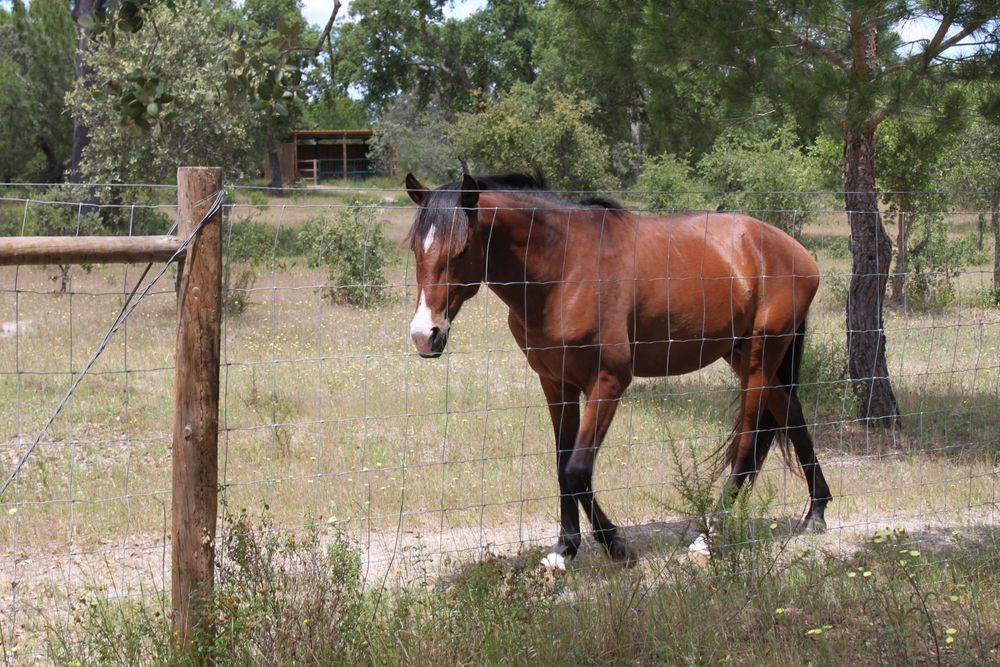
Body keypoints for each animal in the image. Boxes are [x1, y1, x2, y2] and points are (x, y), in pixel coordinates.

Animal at [404, 172, 831, 569]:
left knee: (747, 445)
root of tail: (795, 252)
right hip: (744, 356)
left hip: (760, 357)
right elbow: (562, 465)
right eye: (415, 248)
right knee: (791, 415)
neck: (564, 269)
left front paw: (615, 545)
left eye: (462, 249)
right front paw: (564, 548)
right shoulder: (556, 384)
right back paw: (816, 513)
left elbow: (577, 470)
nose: (425, 335)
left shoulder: (608, 382)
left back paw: (708, 540)